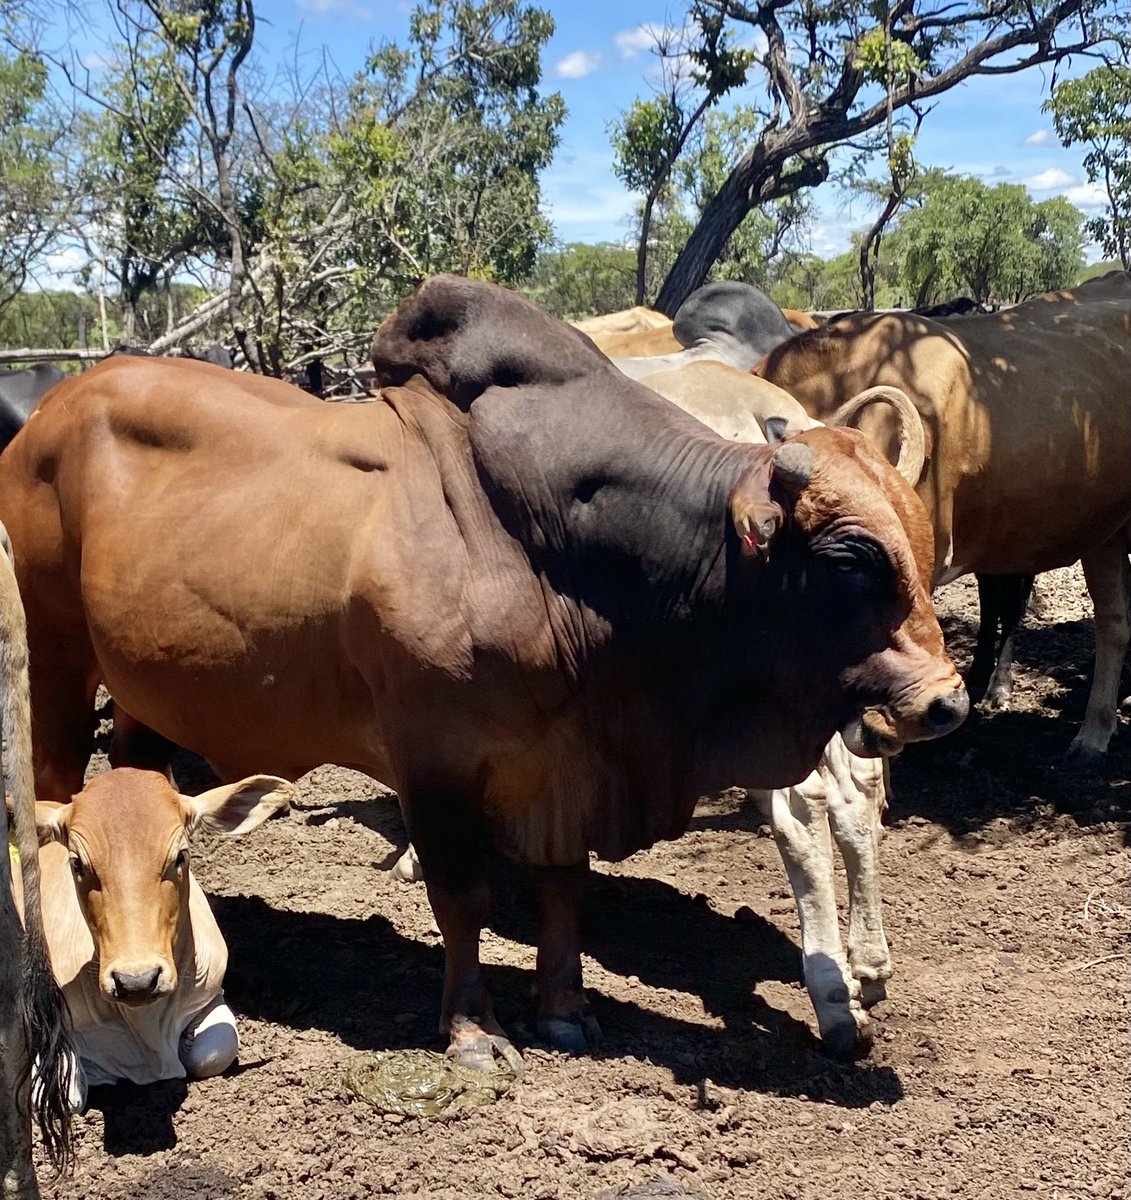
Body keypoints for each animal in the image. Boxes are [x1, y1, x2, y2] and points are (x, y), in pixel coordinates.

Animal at [0, 275, 967, 1066]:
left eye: (923, 547)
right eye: (849, 558)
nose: (945, 701)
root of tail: (49, 414)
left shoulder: (560, 762)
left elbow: (563, 885)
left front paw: (565, 1011)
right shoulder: (434, 757)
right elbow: (461, 893)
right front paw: (473, 1030)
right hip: (55, 653)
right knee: (53, 794)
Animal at [15, 770, 293, 1107]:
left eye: (180, 856)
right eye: (76, 863)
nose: (136, 981)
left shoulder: (212, 993)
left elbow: (213, 1051)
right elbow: (62, 1094)